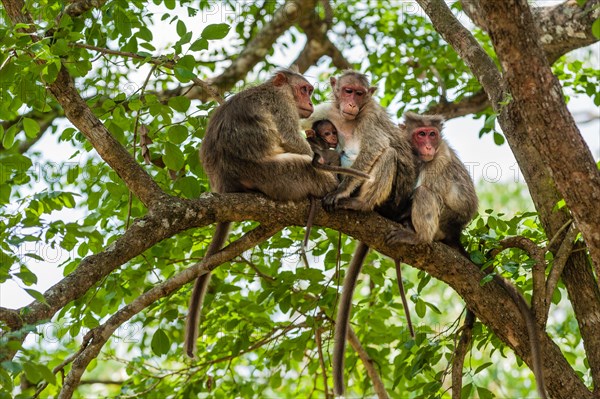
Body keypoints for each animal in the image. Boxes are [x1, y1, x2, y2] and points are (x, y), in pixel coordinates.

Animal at [185, 69, 340, 360]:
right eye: (305, 90)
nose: (311, 102)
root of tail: (225, 184)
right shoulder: (282, 105)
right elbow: (295, 142)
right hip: (274, 175)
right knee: (305, 167)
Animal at [310, 71, 418, 396]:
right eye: (347, 90)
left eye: (359, 93)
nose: (351, 103)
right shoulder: (325, 111)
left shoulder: (370, 116)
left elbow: (375, 147)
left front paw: (341, 190)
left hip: (392, 199)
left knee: (389, 153)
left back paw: (358, 202)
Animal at [386, 112, 548, 399]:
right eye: (421, 134)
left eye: (432, 134)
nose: (428, 145)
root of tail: (456, 232)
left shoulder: (439, 159)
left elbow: (427, 187)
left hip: (444, 221)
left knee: (425, 192)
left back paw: (419, 236)